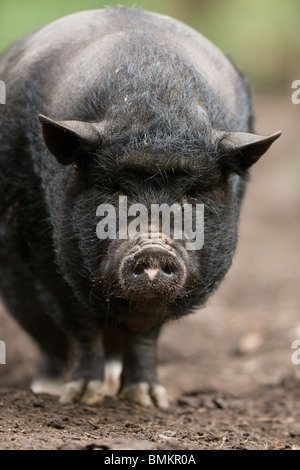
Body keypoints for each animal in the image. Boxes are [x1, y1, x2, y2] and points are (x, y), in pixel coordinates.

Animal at [0, 5, 282, 406]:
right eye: (115, 190)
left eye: (191, 194)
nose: (153, 248)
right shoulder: (46, 249)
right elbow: (77, 320)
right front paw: (82, 397)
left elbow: (146, 334)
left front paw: (147, 400)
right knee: (48, 335)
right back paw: (50, 388)